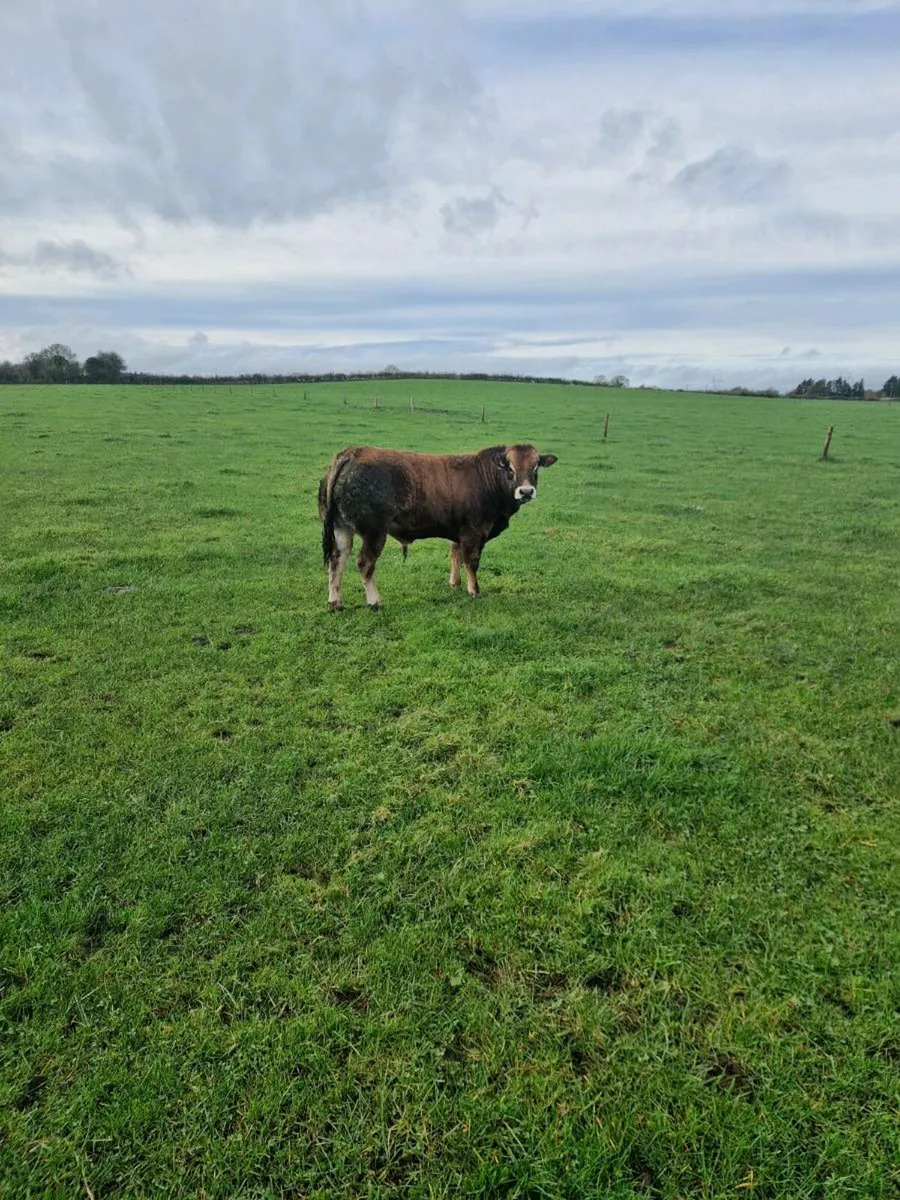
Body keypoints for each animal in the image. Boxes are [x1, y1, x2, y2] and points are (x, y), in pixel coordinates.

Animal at [318, 443, 558, 610]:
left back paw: (335, 602)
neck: (487, 479)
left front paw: (455, 583)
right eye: (510, 468)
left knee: (337, 560)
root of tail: (352, 453)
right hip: (374, 532)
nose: (526, 491)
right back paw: (374, 601)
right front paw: (474, 590)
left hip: (342, 528)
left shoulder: (459, 532)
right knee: (365, 563)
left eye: (535, 467)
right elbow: (471, 562)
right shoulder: (474, 533)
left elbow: (455, 555)